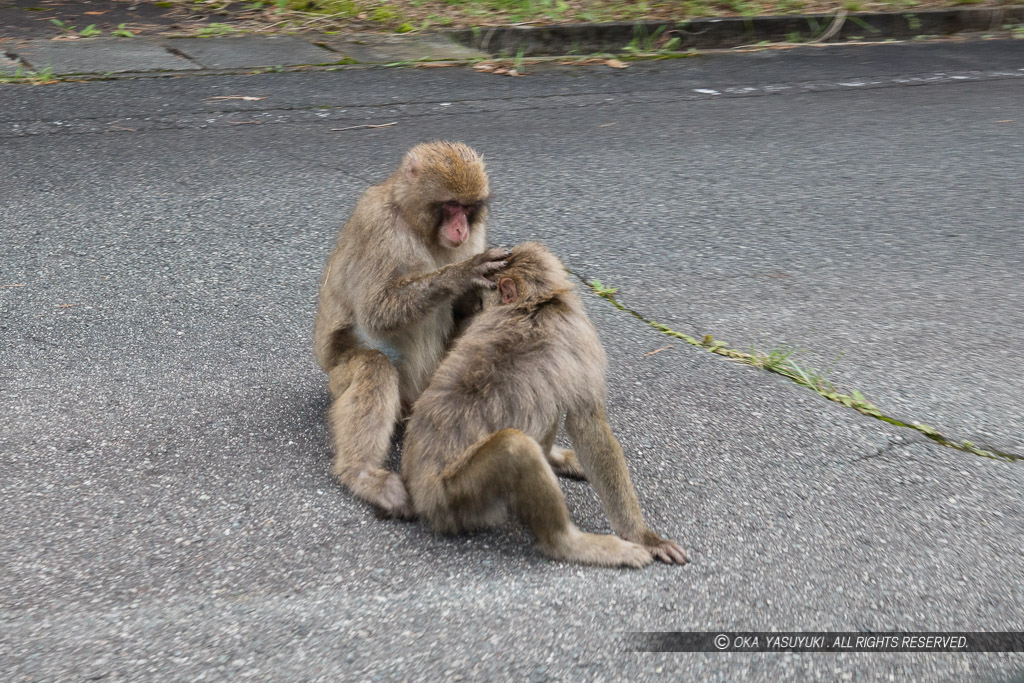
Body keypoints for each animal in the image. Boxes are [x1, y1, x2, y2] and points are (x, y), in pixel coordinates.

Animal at [311, 143, 516, 518]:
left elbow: (467, 309)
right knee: (373, 365)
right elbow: (375, 312)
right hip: (340, 377)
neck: (415, 223)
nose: (461, 229)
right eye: (451, 206)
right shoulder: (377, 226)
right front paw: (460, 274)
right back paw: (362, 473)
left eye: (468, 208)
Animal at [399, 242, 688, 569]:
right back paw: (570, 544)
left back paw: (550, 458)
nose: (467, 305)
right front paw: (643, 535)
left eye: (480, 295)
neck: (538, 303)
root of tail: (420, 491)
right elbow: (588, 423)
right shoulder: (579, 333)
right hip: (456, 500)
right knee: (515, 448)